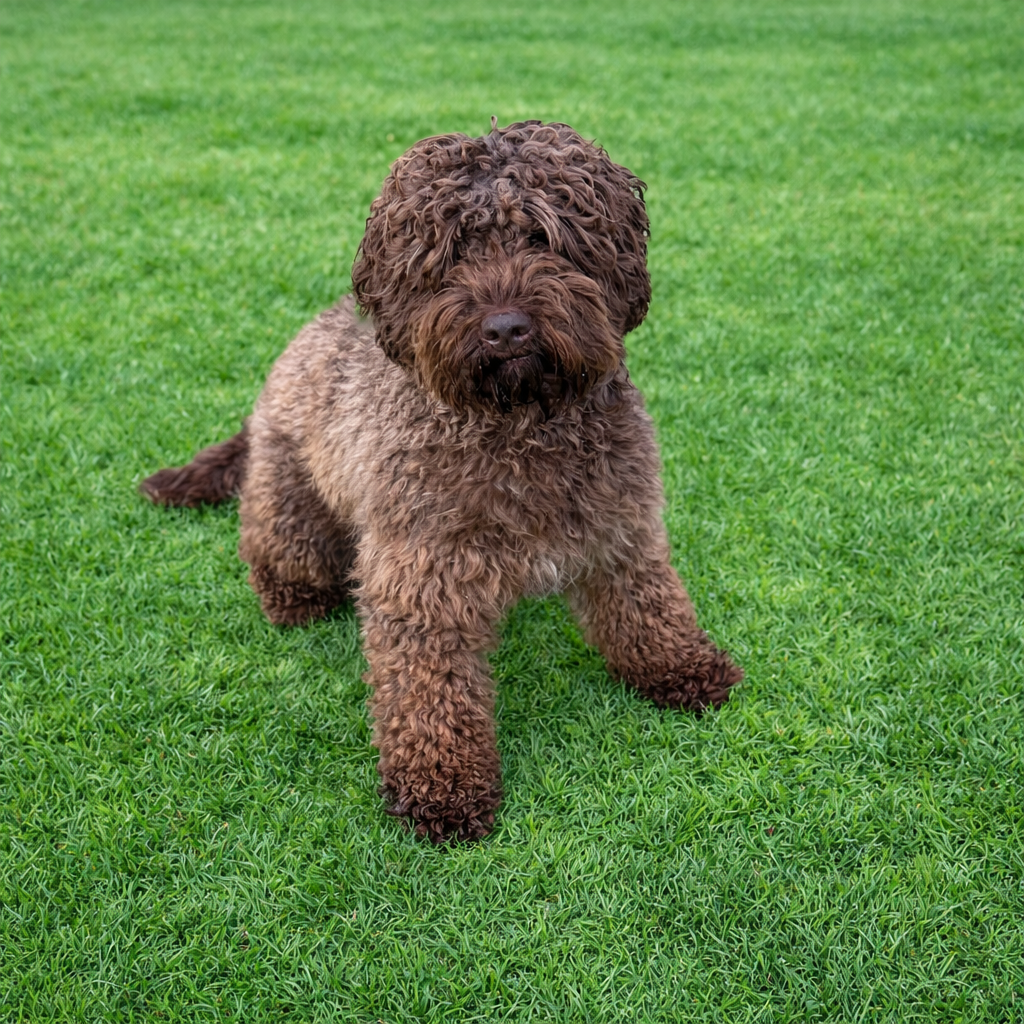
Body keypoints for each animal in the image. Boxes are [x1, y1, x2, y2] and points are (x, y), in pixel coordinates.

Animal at [140, 120, 743, 842]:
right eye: (450, 253)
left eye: (542, 237)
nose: (506, 328)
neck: (517, 426)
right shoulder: (424, 574)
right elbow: (430, 690)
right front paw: (443, 787)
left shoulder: (622, 527)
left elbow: (648, 606)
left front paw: (685, 669)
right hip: (291, 498)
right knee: (276, 545)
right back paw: (290, 594)